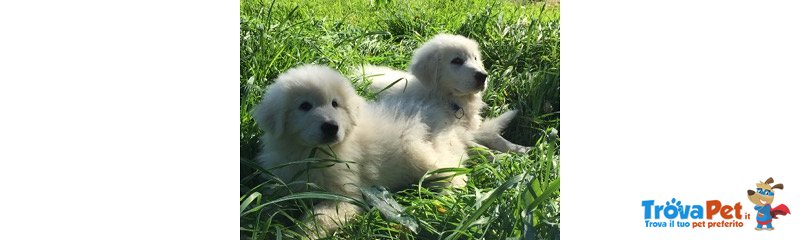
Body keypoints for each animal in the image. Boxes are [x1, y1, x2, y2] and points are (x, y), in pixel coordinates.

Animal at [253, 64, 472, 238]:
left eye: (335, 103)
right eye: (305, 106)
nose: (331, 127)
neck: (311, 155)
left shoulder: (346, 196)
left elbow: (318, 217)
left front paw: (301, 234)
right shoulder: (283, 180)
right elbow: (270, 202)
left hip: (421, 154)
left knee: (457, 173)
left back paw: (445, 199)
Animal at [354, 33, 532, 153]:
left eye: (475, 58)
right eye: (456, 61)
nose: (483, 76)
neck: (449, 101)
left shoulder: (471, 128)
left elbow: (496, 137)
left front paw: (520, 148)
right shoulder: (450, 131)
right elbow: (476, 146)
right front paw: (497, 157)